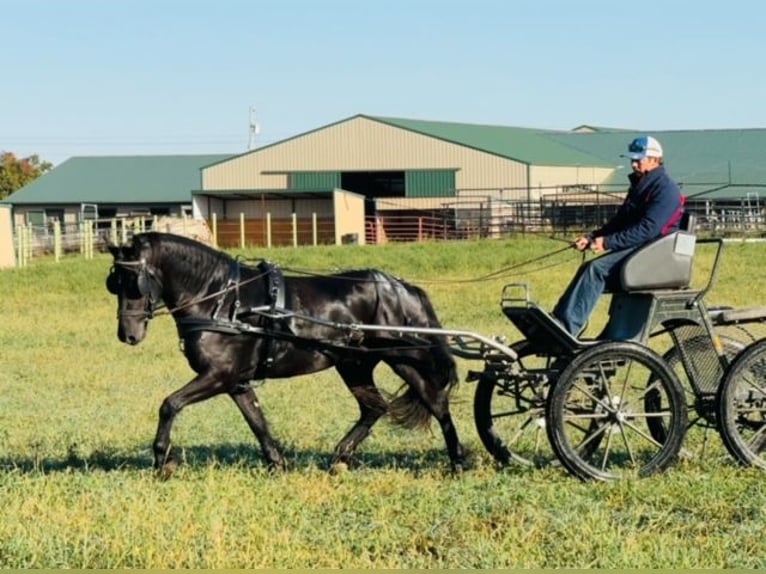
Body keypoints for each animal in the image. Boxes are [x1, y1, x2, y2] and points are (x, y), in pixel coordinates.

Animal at [106, 232, 468, 474]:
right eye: (114, 283)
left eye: (135, 281)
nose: (128, 335)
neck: (222, 299)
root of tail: (402, 287)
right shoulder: (236, 382)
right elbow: (257, 422)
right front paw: (278, 464)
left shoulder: (218, 375)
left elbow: (169, 405)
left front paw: (162, 459)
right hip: (354, 364)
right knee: (374, 407)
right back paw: (340, 458)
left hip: (404, 359)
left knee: (436, 403)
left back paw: (459, 461)